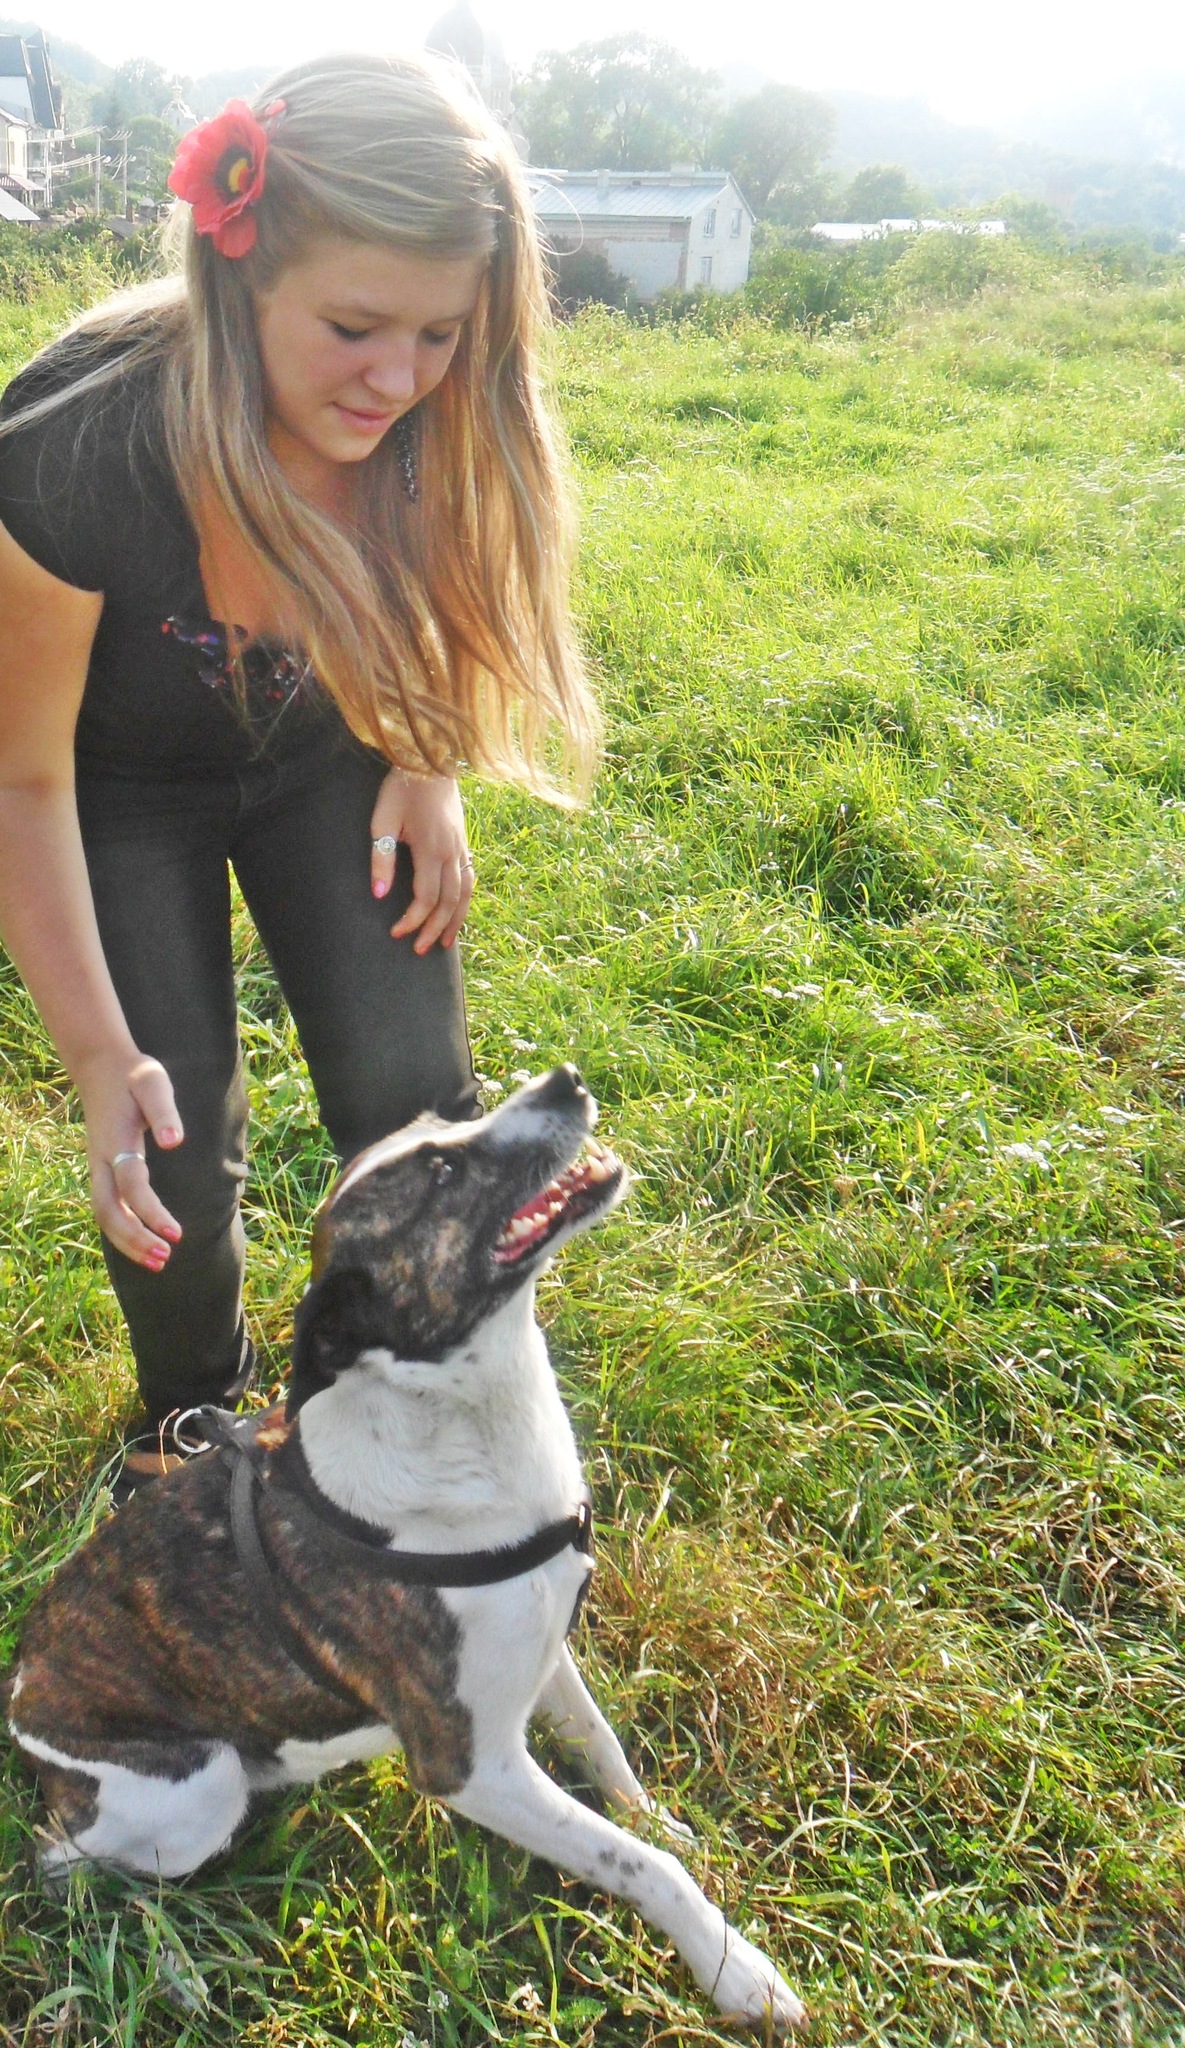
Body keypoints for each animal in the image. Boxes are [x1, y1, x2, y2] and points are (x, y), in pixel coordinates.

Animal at [9, 1066, 804, 2033]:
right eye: (438, 1174)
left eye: (445, 1123)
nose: (565, 1078)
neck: (474, 1427)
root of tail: (18, 1697)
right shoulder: (471, 1767)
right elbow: (637, 1865)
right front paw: (734, 1968)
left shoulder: (540, 1648)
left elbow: (605, 1750)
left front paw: (656, 1818)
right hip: (195, 1789)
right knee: (60, 1870)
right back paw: (175, 1964)